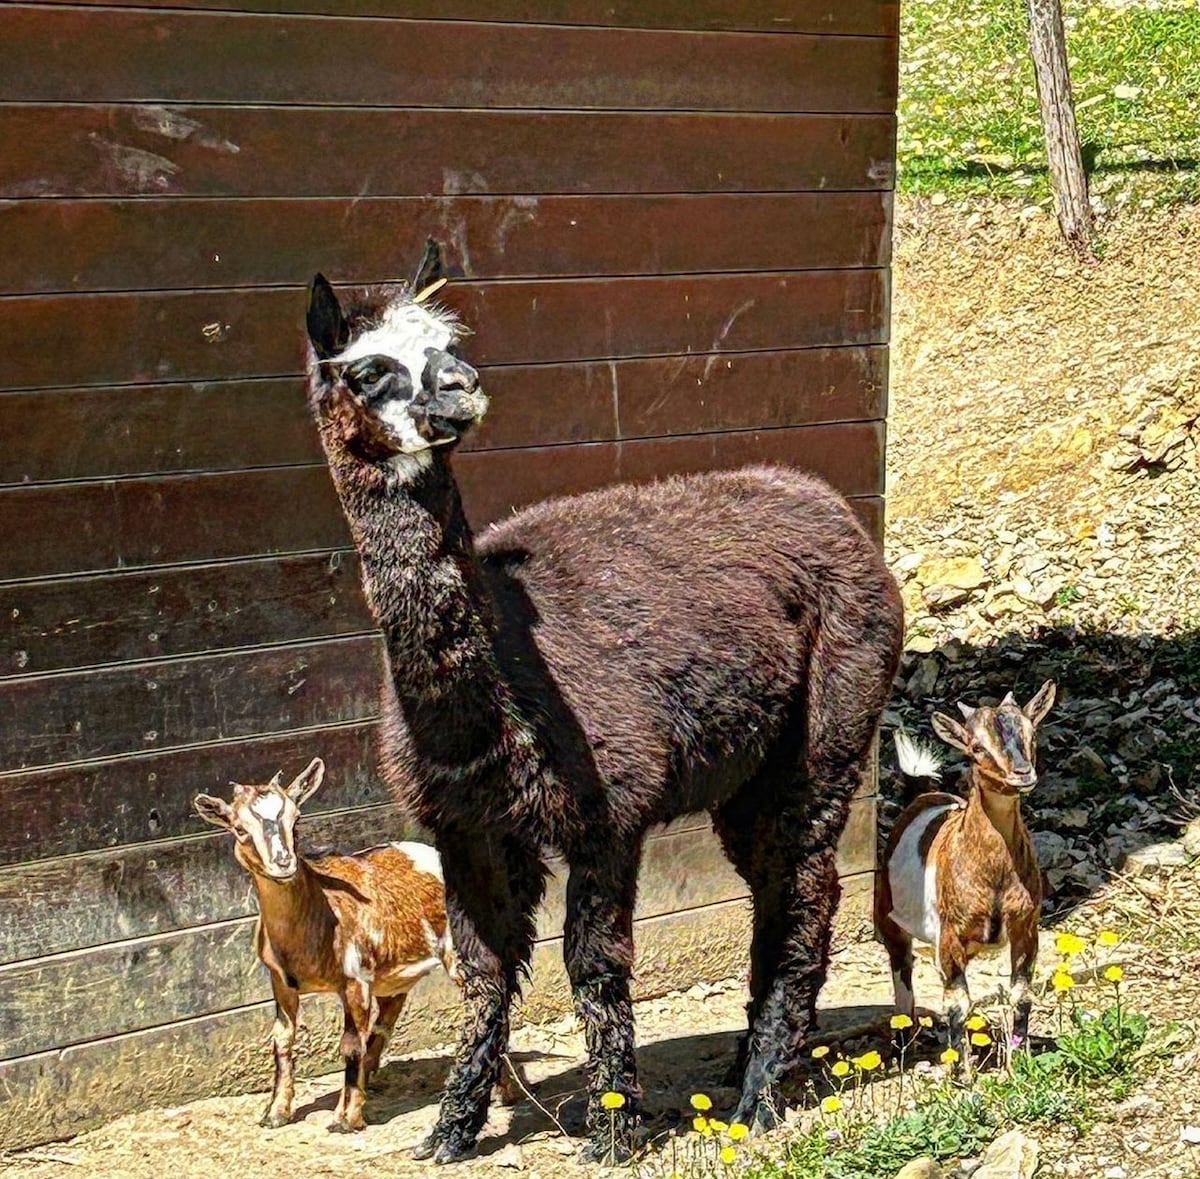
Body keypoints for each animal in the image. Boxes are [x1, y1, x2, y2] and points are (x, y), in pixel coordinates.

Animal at [193, 763, 516, 1128]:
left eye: (297, 819)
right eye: (239, 829)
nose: (284, 863)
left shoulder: (355, 978)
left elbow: (350, 1044)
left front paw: (346, 1117)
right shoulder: (280, 981)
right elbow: (282, 1039)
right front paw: (275, 1112)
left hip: (459, 952)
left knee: (489, 1002)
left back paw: (504, 1093)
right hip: (395, 974)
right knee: (387, 1017)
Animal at [873, 677, 1060, 1066]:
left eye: (1032, 733)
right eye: (976, 747)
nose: (1023, 774)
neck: (993, 877)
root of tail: (922, 796)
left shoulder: (1026, 925)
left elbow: (1021, 993)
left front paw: (1018, 1060)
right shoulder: (950, 937)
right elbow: (957, 1004)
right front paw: (963, 1072)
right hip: (888, 914)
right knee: (902, 974)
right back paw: (904, 1046)